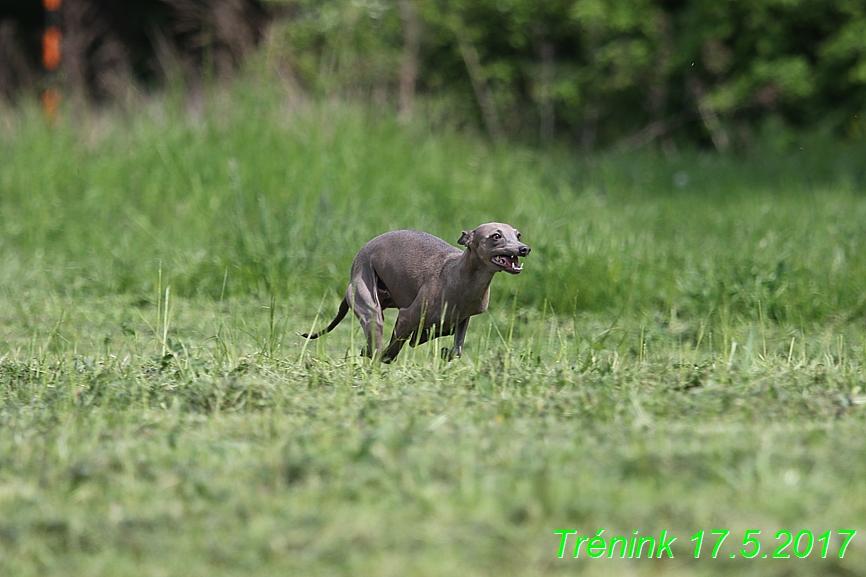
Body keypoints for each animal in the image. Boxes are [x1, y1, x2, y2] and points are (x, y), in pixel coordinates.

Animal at [304, 222, 528, 360]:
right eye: (496, 236)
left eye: (517, 235)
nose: (524, 248)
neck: (463, 277)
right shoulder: (407, 317)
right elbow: (392, 350)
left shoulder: (463, 317)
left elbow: (455, 347)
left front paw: (435, 345)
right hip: (370, 305)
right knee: (376, 341)